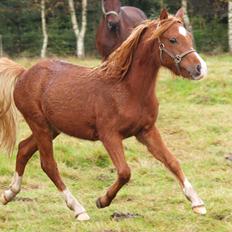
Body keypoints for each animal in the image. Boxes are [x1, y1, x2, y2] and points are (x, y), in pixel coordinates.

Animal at [0, 8, 207, 220]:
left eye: (188, 36)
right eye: (173, 39)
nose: (200, 69)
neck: (128, 89)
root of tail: (23, 73)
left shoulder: (146, 131)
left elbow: (172, 161)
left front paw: (197, 203)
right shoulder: (109, 136)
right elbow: (124, 172)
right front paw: (102, 200)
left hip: (51, 128)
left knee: (23, 149)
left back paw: (9, 194)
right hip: (39, 125)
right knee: (48, 164)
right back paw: (78, 209)